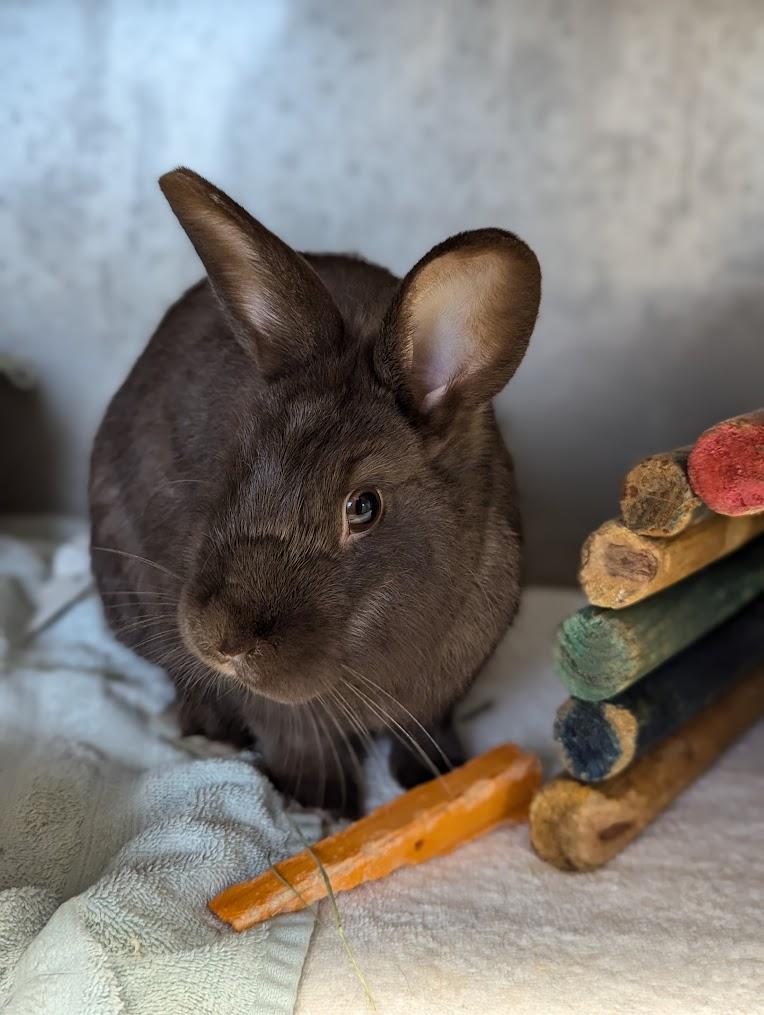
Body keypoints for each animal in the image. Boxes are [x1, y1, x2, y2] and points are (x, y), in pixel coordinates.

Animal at [89, 168, 541, 817]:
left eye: (363, 507)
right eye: (238, 462)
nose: (222, 642)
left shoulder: (444, 696)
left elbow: (427, 730)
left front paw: (435, 778)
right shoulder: (283, 713)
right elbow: (301, 739)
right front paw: (321, 804)